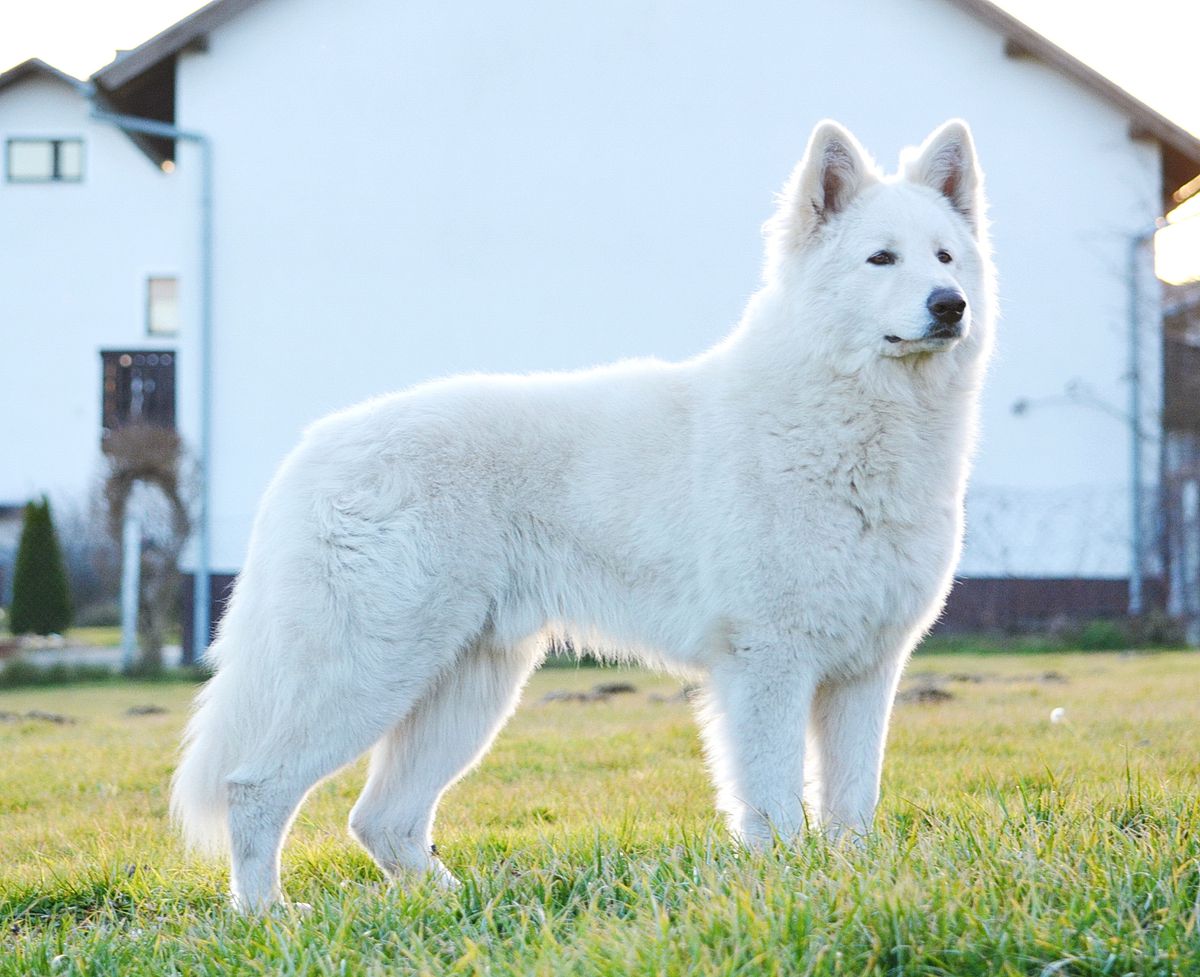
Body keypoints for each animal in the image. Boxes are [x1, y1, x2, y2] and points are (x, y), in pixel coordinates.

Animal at [169, 120, 993, 912]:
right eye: (880, 259)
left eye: (946, 256)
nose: (949, 304)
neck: (847, 419)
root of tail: (313, 448)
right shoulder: (769, 663)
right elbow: (777, 804)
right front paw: (786, 884)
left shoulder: (866, 672)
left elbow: (853, 804)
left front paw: (848, 882)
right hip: (366, 671)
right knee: (255, 789)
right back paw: (268, 916)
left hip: (467, 688)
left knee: (381, 820)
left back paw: (457, 906)